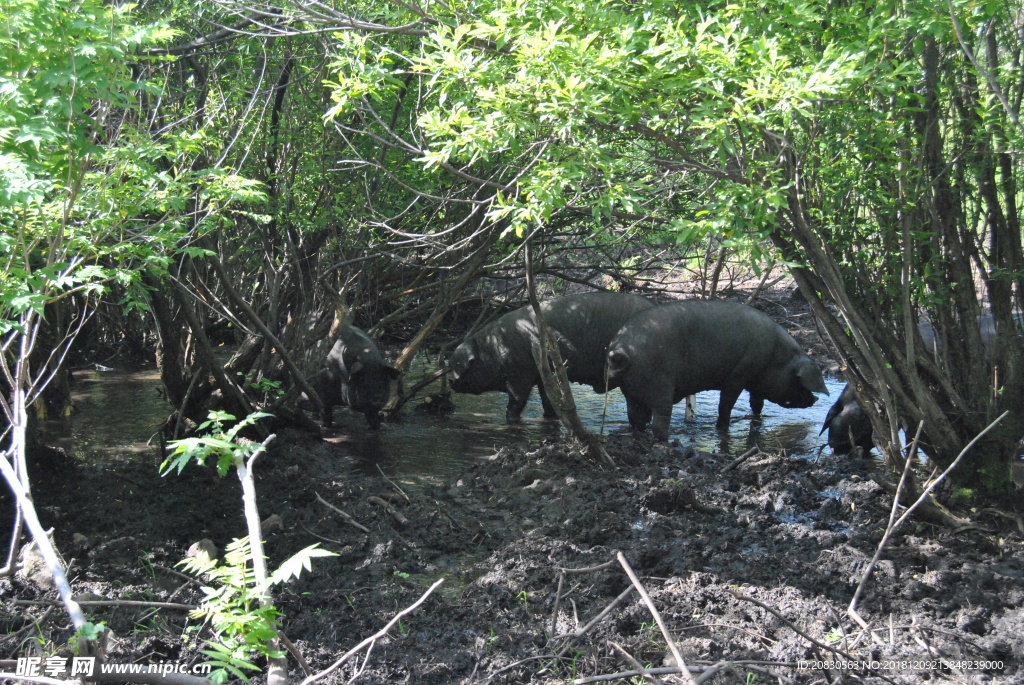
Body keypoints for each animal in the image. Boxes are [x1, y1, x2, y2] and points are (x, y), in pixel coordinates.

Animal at [450, 290, 655, 419]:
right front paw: (550, 416)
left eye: (462, 367)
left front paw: (509, 418)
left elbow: (517, 400)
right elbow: (548, 400)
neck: (490, 349)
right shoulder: (543, 376)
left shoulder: (519, 374)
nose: (451, 383)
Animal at [602, 301, 827, 440]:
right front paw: (722, 429)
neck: (775, 356)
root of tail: (622, 350)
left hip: (630, 390)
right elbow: (726, 404)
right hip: (659, 385)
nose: (815, 399)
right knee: (659, 421)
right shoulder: (739, 374)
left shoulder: (754, 380)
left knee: (635, 419)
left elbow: (757, 403)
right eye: (799, 381)